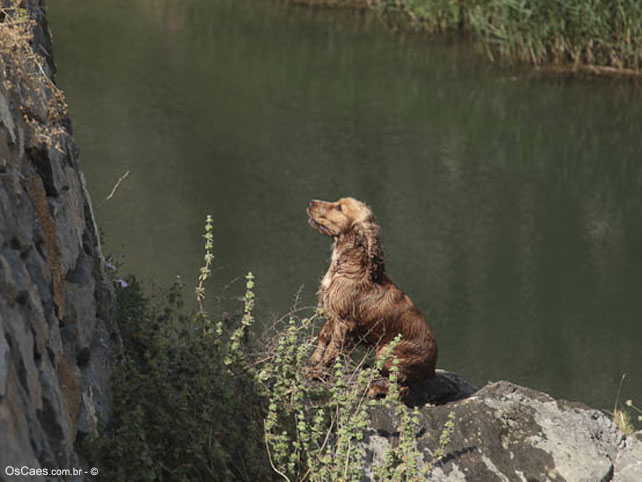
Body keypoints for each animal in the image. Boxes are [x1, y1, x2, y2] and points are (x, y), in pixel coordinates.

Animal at [304, 198, 436, 398]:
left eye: (339, 208)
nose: (311, 202)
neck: (346, 265)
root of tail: (432, 367)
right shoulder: (333, 314)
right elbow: (323, 336)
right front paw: (314, 360)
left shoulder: (343, 322)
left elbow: (332, 350)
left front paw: (317, 372)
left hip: (385, 352)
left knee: (400, 389)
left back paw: (374, 389)